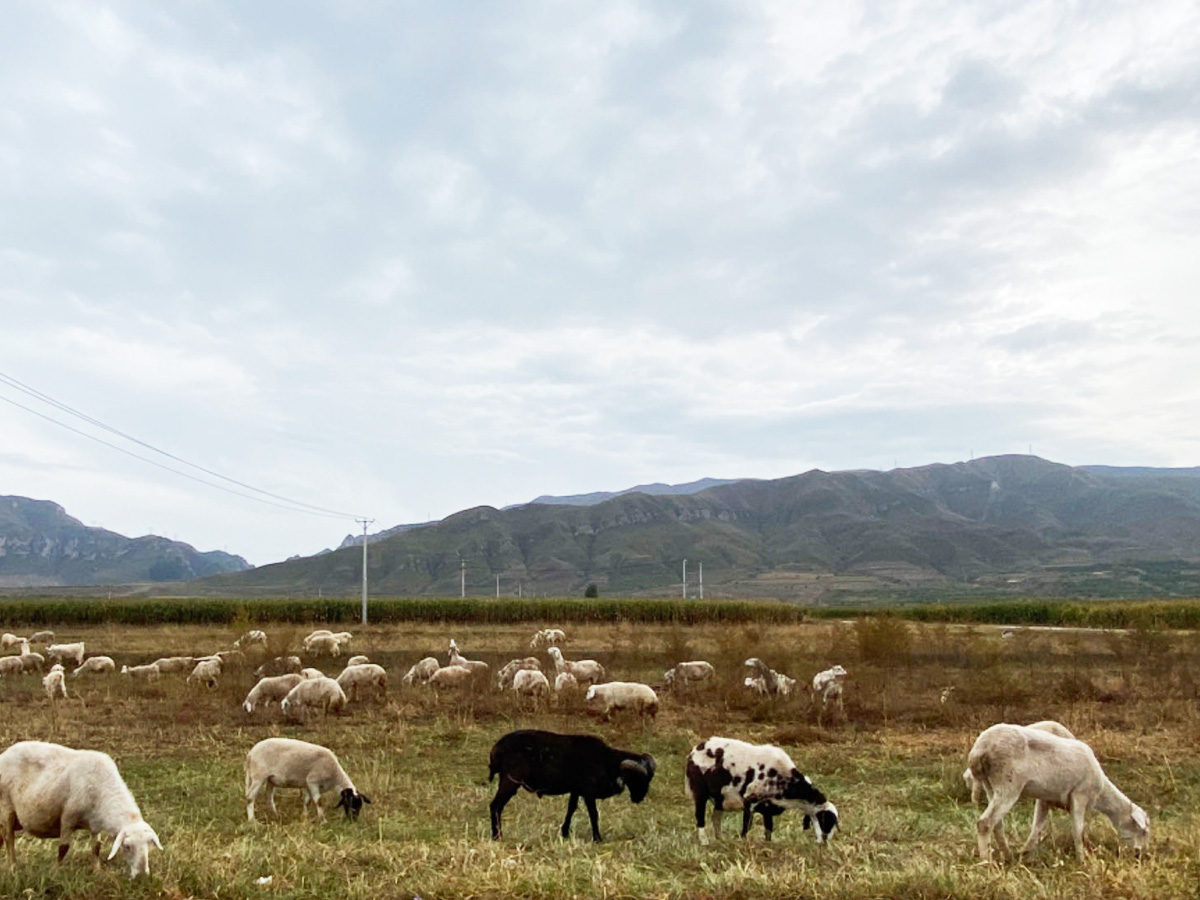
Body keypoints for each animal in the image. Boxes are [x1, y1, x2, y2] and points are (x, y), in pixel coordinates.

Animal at [0, 739, 162, 883]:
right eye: (127, 846)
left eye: (149, 845)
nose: (142, 876)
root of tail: (4, 754)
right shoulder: (67, 818)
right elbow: (63, 848)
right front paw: (56, 872)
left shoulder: (95, 825)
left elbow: (96, 848)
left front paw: (98, 871)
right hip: (5, 807)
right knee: (9, 839)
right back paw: (13, 868)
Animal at [487, 729, 657, 844]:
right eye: (637, 778)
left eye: (649, 778)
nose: (639, 798)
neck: (606, 761)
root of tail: (496, 749)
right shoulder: (589, 792)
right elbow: (594, 814)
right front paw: (597, 838)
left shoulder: (576, 790)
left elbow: (571, 809)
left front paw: (565, 833)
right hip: (510, 780)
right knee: (495, 806)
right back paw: (497, 836)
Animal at [686, 734, 844, 849]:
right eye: (826, 820)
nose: (824, 843)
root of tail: (694, 750)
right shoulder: (749, 800)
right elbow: (746, 826)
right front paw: (744, 843)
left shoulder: (768, 808)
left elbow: (769, 829)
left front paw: (768, 844)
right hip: (700, 792)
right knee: (700, 817)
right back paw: (704, 842)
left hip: (720, 797)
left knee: (716, 818)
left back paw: (721, 840)